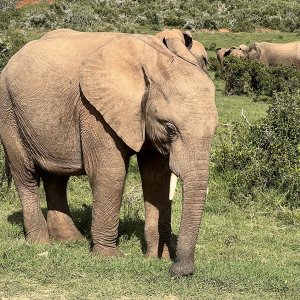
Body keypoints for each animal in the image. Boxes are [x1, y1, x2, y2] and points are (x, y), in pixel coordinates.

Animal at [0, 28, 217, 276]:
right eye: (170, 129)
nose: (178, 270)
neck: (153, 59)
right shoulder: (93, 110)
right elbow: (110, 172)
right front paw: (109, 257)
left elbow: (156, 178)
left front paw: (156, 257)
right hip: (9, 111)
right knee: (26, 176)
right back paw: (40, 242)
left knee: (56, 178)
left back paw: (69, 240)